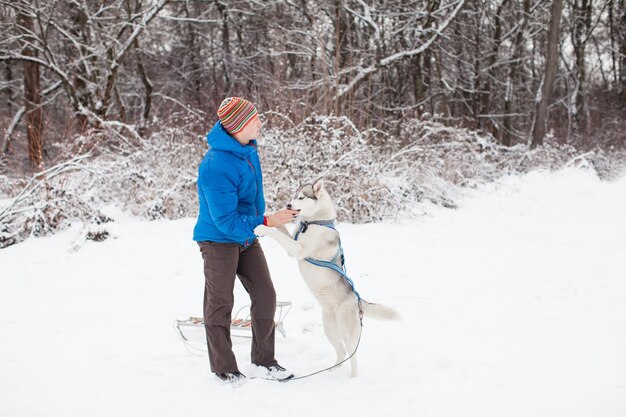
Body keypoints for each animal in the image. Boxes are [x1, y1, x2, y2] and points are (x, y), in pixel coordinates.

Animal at [252, 179, 394, 376]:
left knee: (352, 355)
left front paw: (262, 227)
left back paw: (354, 377)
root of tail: (357, 301)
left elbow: (280, 235)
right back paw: (331, 369)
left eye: (301, 197)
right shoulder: (292, 247)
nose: (288, 205)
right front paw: (271, 216)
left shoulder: (298, 250)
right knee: (341, 352)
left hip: (347, 331)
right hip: (330, 329)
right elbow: (282, 231)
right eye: (294, 196)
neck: (313, 222)